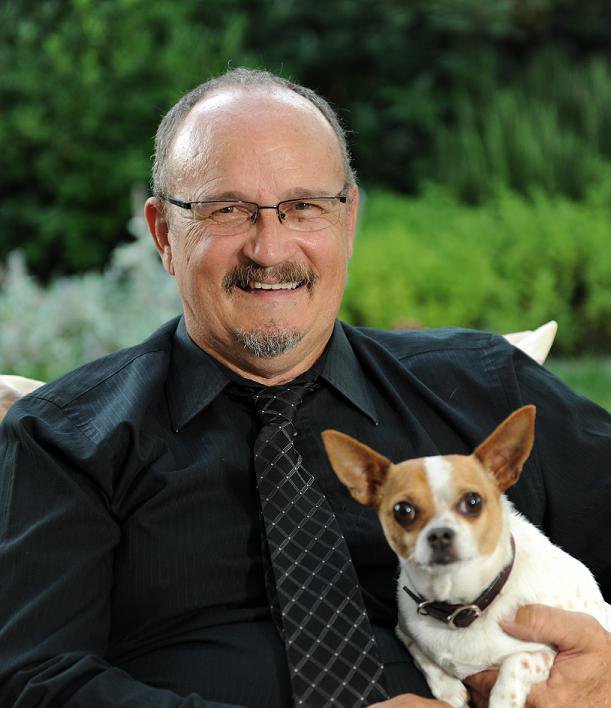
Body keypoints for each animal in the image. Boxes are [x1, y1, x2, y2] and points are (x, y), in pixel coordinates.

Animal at [322, 404, 608, 708]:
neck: (459, 605)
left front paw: (502, 700)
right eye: (403, 511)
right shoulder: (405, 628)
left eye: (473, 502)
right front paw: (449, 689)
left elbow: (515, 665)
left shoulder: (544, 652)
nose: (439, 534)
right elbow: (421, 653)